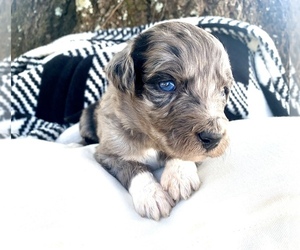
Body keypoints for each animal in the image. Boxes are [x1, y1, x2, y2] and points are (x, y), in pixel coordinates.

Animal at [80, 22, 234, 221]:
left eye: (224, 91)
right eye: (167, 84)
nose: (214, 138)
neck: (151, 140)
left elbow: (185, 152)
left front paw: (179, 175)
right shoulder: (109, 152)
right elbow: (132, 166)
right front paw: (151, 196)